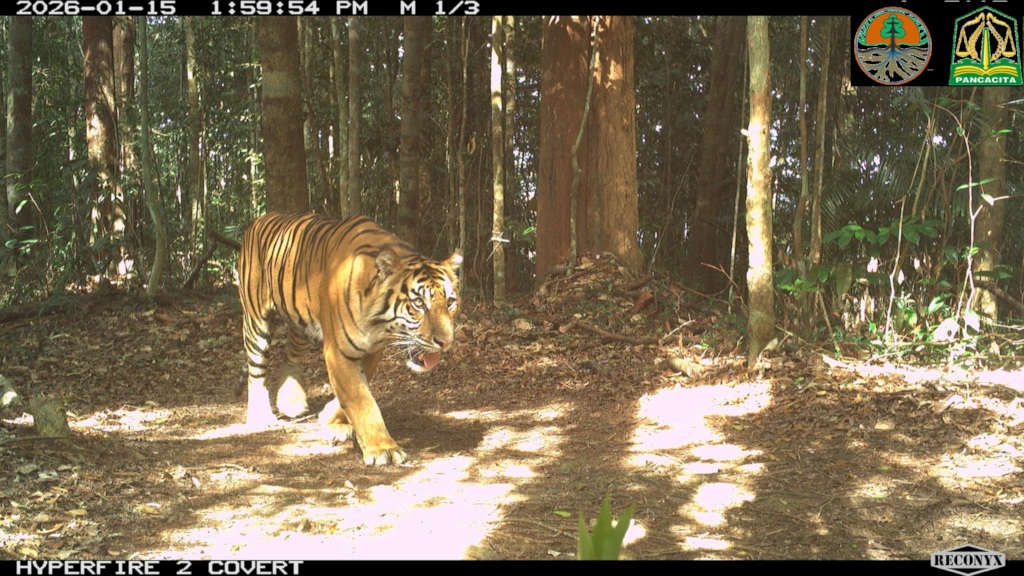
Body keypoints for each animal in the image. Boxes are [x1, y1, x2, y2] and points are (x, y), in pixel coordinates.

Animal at [237, 211, 462, 466]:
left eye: (450, 302)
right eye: (419, 303)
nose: (446, 341)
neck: (379, 324)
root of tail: (258, 220)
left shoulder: (372, 350)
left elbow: (356, 390)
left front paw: (333, 420)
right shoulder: (338, 351)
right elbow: (360, 398)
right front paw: (383, 448)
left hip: (301, 322)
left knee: (290, 356)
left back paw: (291, 402)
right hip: (256, 321)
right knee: (256, 369)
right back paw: (260, 417)